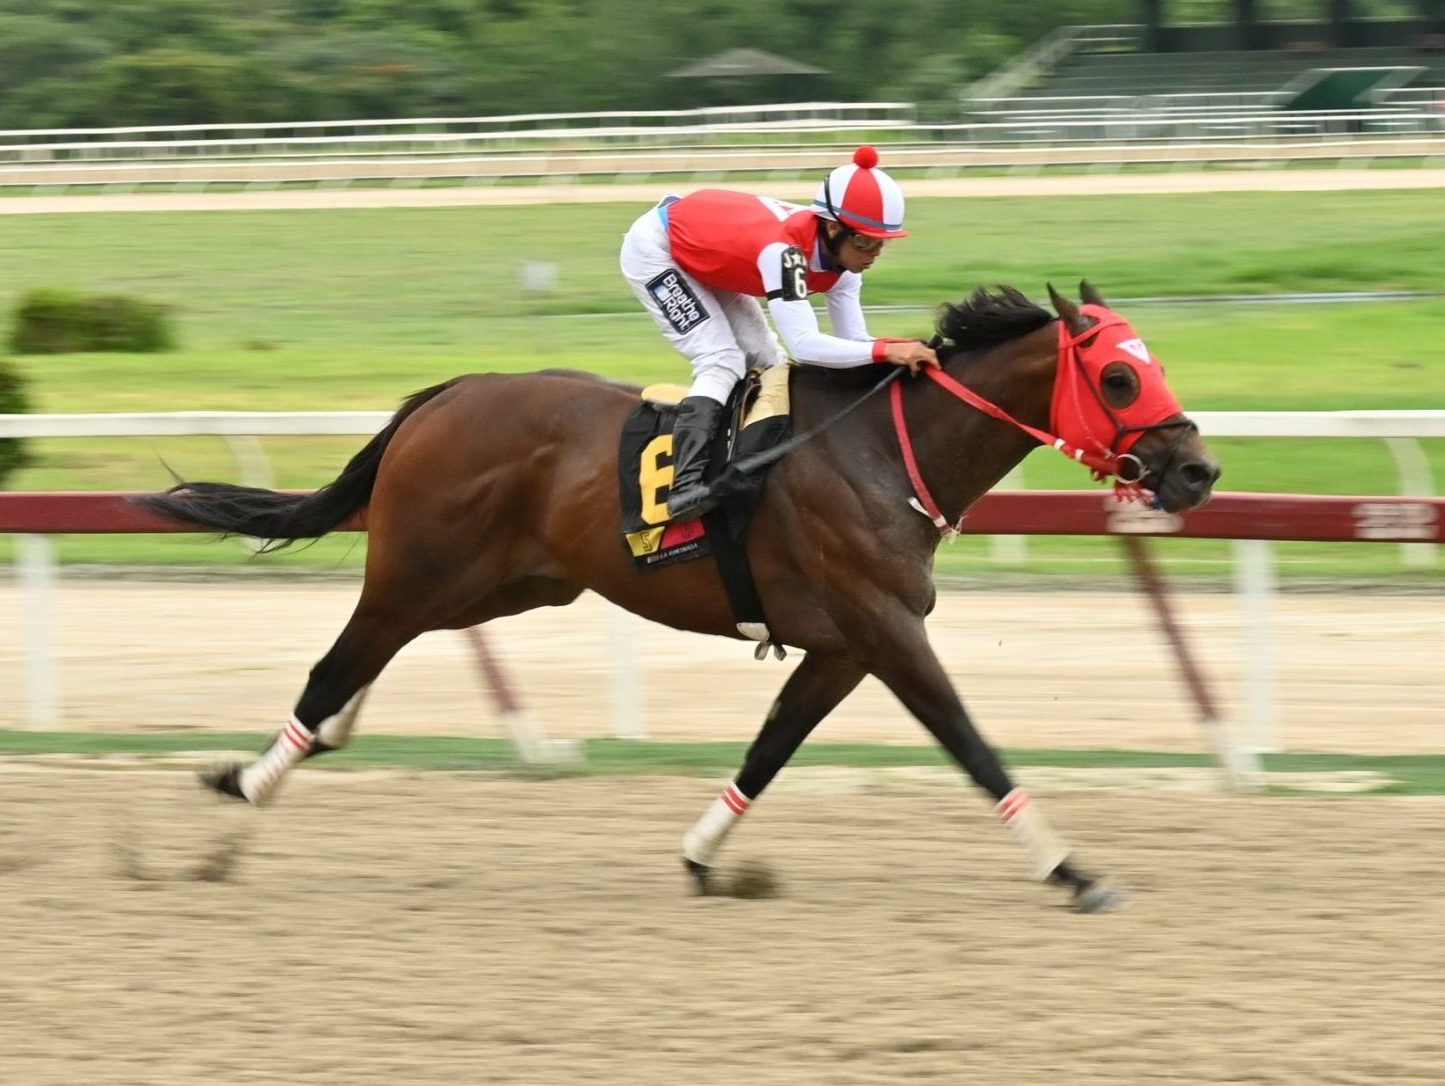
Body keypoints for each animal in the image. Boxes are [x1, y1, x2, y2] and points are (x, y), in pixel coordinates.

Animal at [140, 284, 1219, 912]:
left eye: (1152, 366)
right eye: (1118, 377)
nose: (1198, 472)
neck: (882, 449)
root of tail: (442, 395)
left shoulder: (841, 646)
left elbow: (769, 750)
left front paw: (705, 857)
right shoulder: (885, 630)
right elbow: (973, 747)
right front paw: (1073, 870)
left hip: (512, 585)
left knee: (373, 658)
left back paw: (317, 744)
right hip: (421, 570)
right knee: (338, 660)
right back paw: (245, 784)